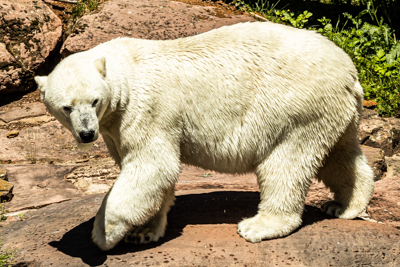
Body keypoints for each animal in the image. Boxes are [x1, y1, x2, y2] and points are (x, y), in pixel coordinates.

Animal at [34, 22, 376, 252]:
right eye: (66, 107)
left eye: (93, 101)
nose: (86, 133)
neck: (126, 71)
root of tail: (350, 72)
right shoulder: (116, 128)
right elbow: (156, 177)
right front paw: (144, 231)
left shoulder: (146, 110)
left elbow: (152, 166)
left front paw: (104, 233)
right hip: (332, 111)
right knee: (339, 155)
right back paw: (345, 206)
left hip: (298, 107)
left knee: (285, 164)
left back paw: (259, 226)